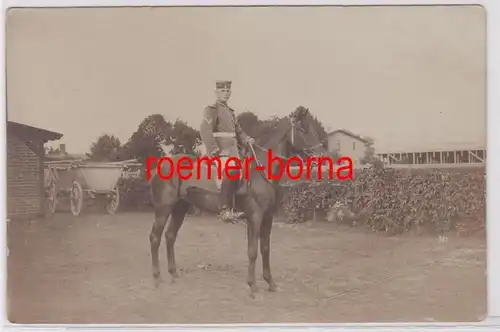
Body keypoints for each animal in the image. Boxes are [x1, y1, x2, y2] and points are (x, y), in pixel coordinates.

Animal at [148, 106, 326, 296]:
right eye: (303, 129)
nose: (321, 156)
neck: (261, 170)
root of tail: (160, 165)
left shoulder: (268, 217)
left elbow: (265, 248)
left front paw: (270, 282)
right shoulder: (255, 217)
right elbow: (252, 251)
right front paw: (253, 286)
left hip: (179, 207)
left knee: (170, 236)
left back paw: (173, 274)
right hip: (163, 208)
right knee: (155, 238)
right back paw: (157, 278)